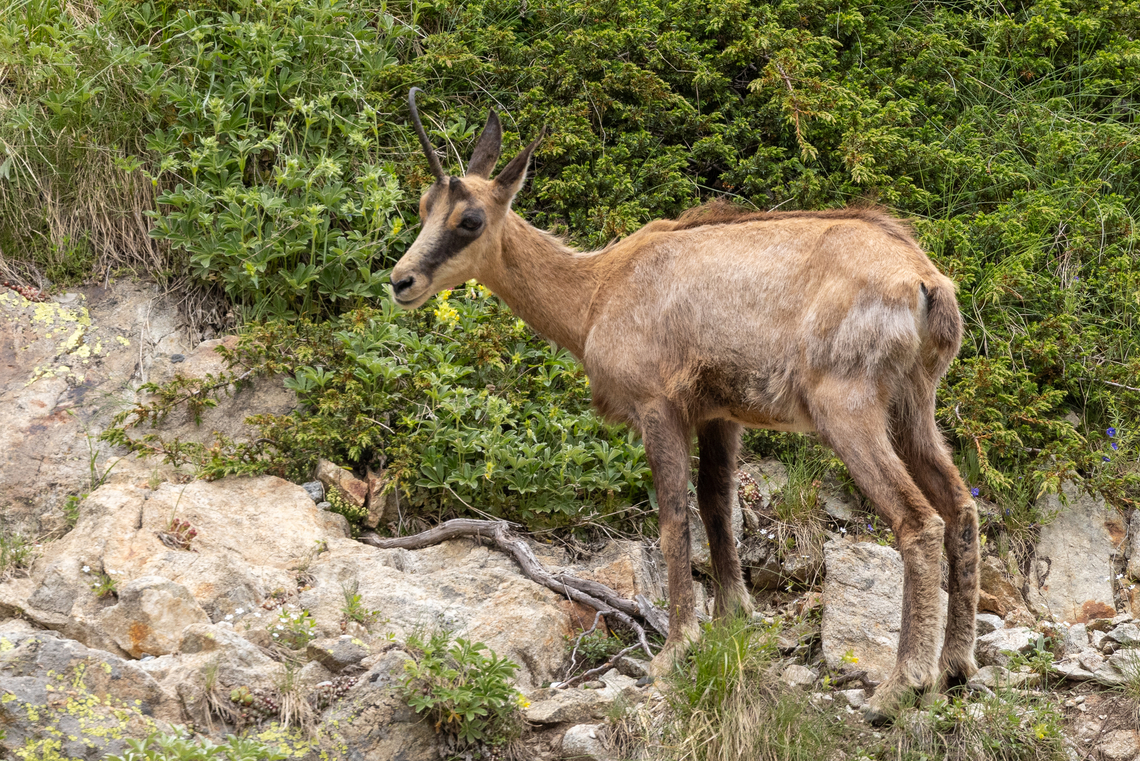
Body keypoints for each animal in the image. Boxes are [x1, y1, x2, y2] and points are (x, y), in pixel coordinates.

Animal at [390, 89, 979, 720]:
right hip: (914, 405)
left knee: (917, 520)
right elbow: (716, 506)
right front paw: (734, 619)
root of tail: (924, 283)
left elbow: (673, 516)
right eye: (424, 206)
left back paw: (901, 684)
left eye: (470, 220)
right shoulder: (720, 414)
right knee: (960, 508)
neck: (598, 292)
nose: (401, 281)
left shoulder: (657, 405)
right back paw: (955, 667)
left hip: (847, 407)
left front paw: (675, 651)